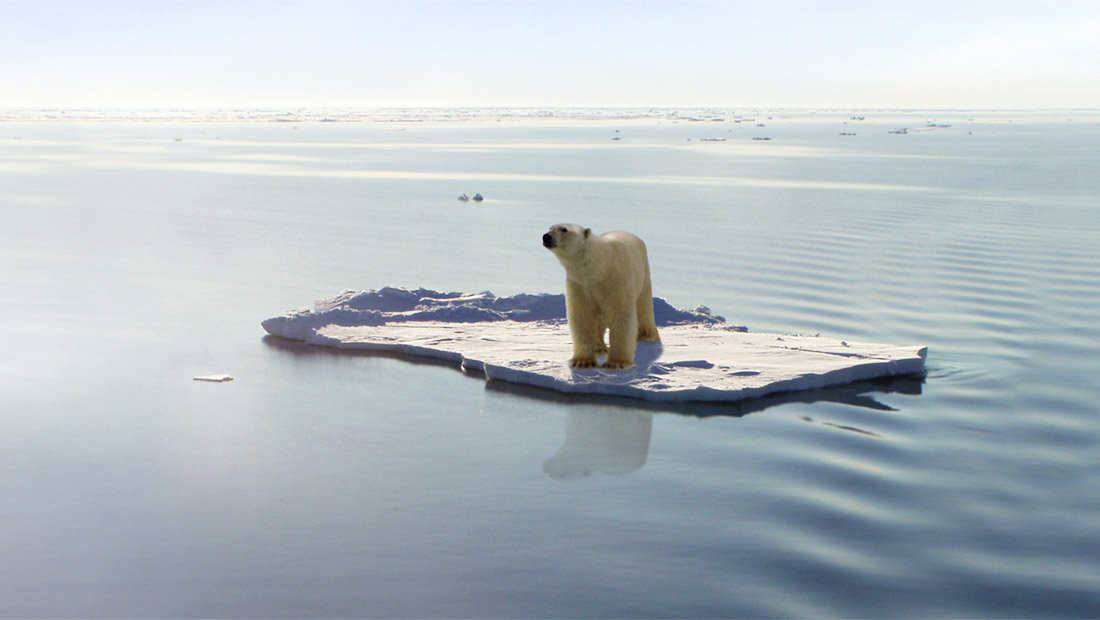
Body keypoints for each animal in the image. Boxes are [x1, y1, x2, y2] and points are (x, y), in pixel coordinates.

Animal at [543, 223, 660, 367]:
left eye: (564, 229)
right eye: (550, 228)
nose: (546, 236)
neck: (598, 268)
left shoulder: (617, 281)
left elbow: (621, 315)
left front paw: (616, 363)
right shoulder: (580, 285)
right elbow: (582, 316)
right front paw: (582, 361)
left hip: (643, 274)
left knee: (643, 307)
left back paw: (647, 335)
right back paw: (599, 347)